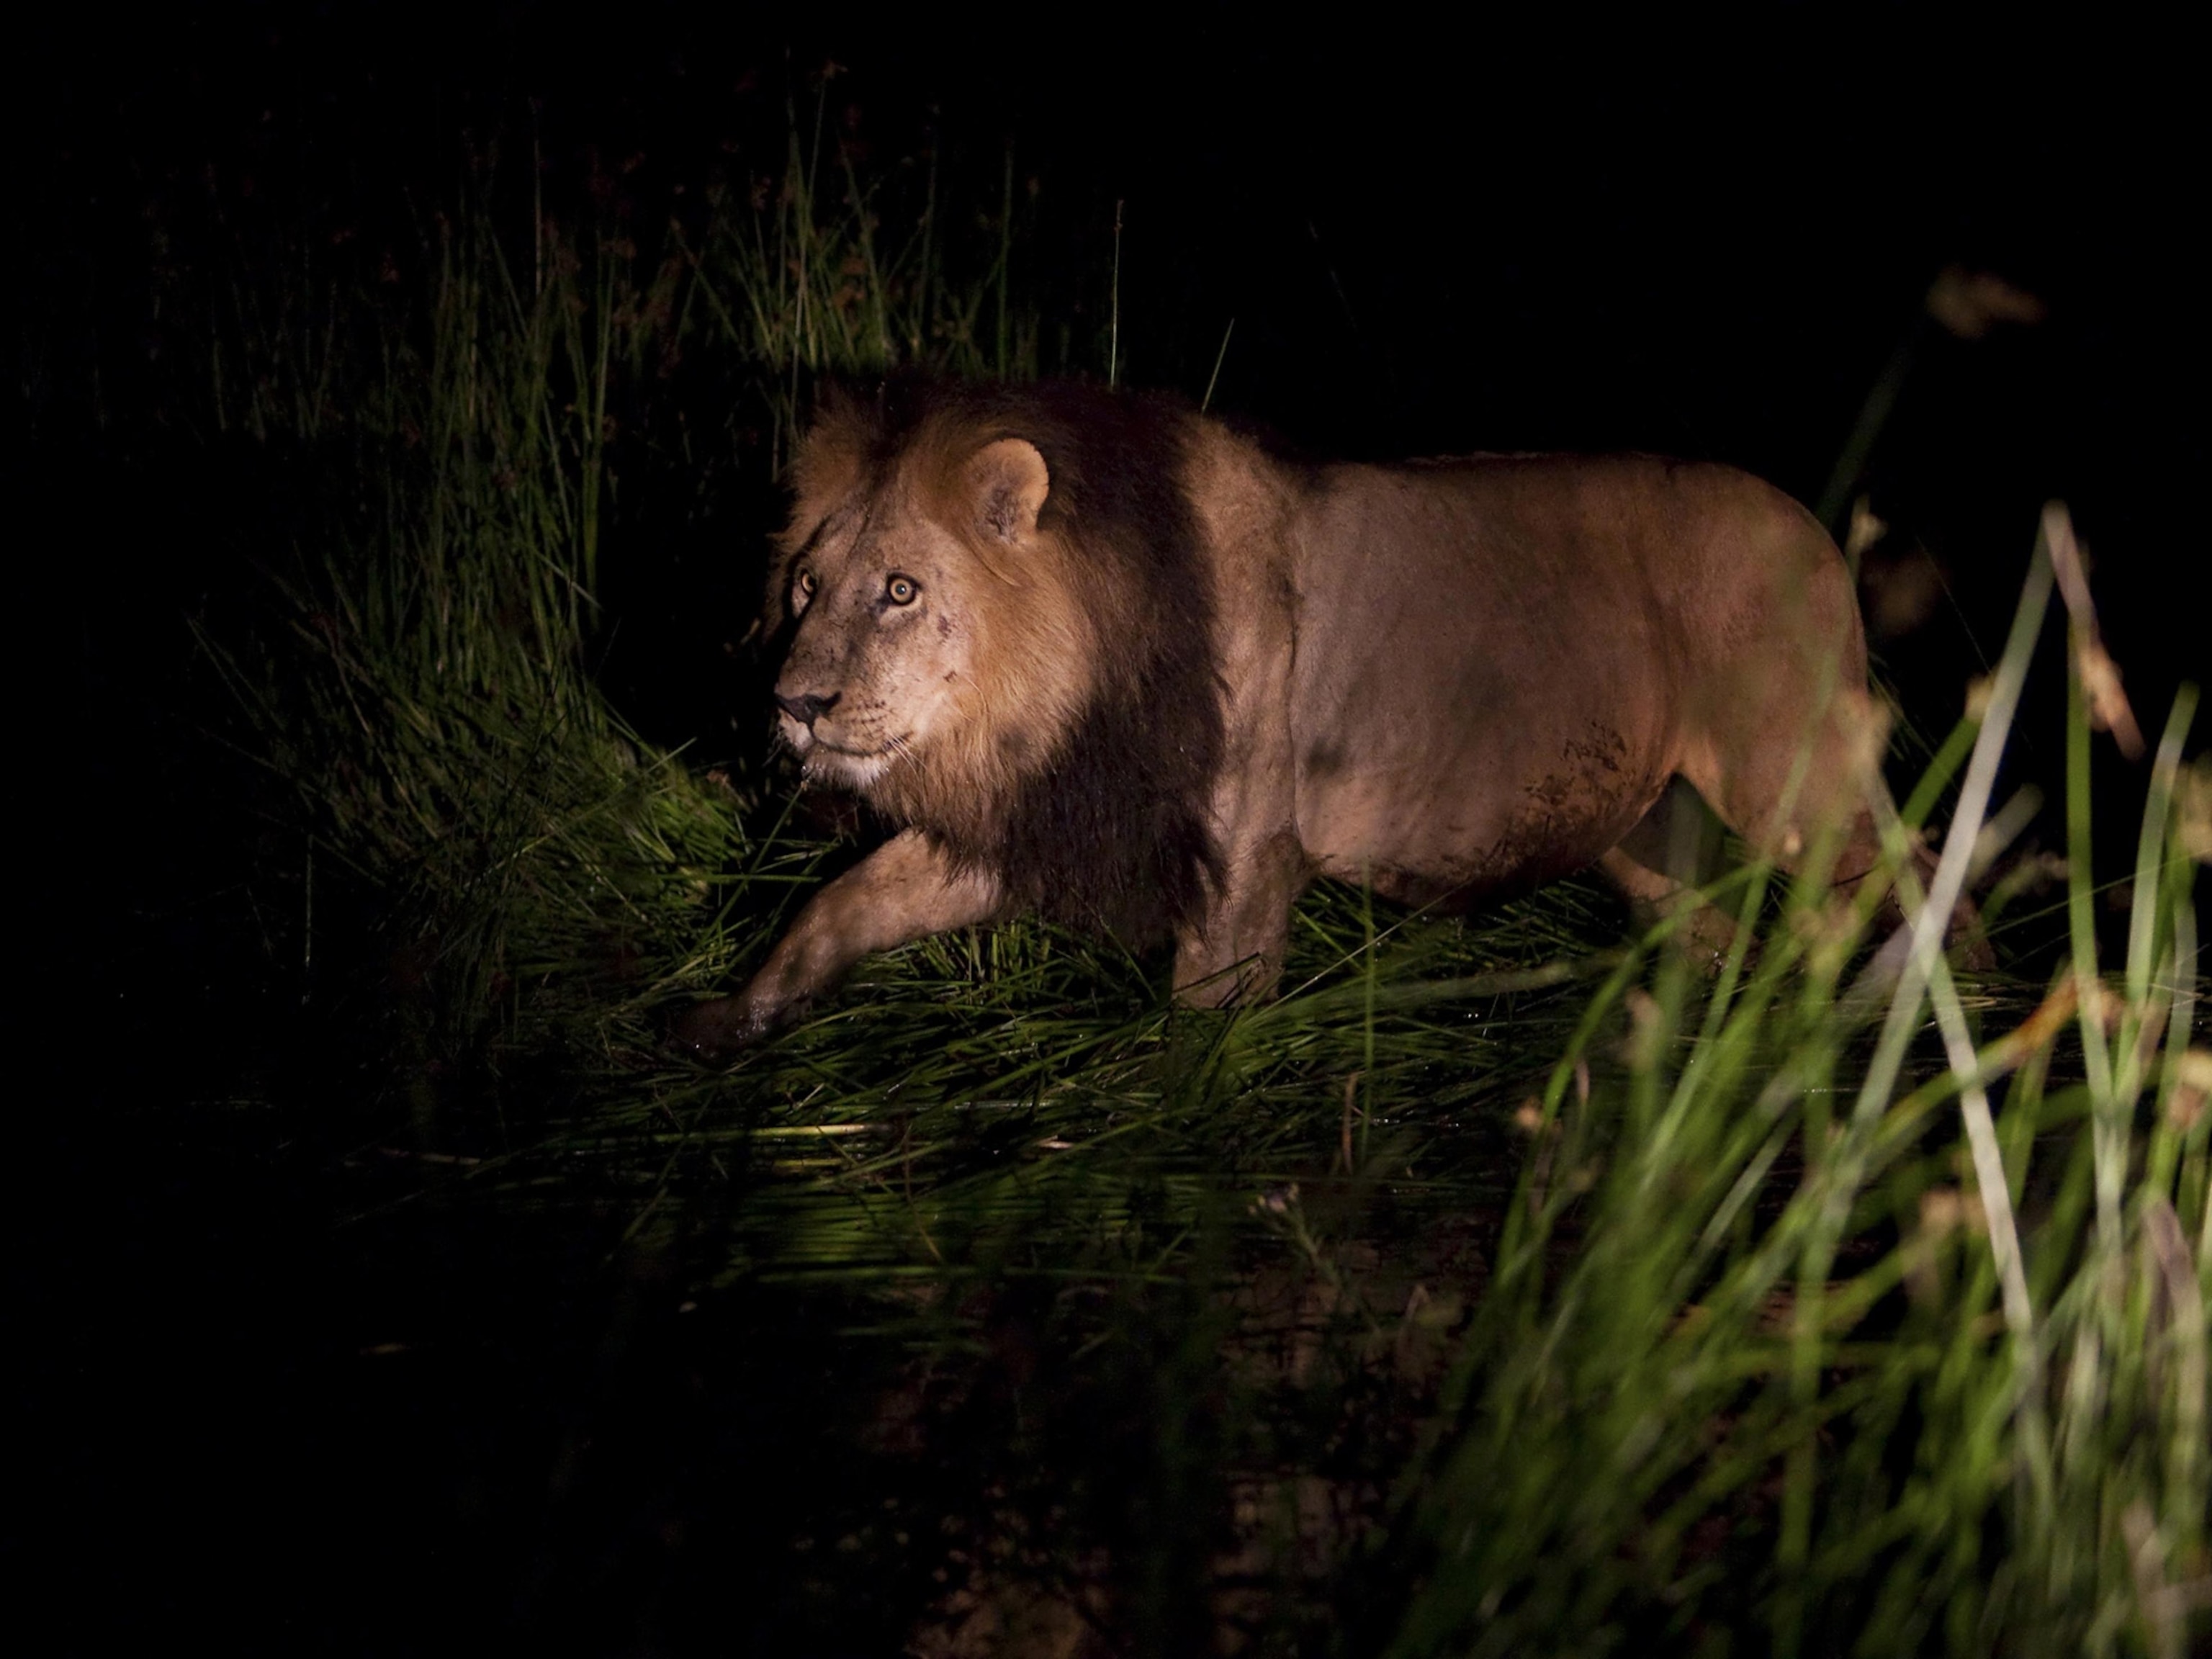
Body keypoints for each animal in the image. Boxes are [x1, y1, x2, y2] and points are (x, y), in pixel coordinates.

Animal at [676, 380, 1929, 1055]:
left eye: (901, 591)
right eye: (806, 586)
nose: (793, 704)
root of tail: (1822, 535)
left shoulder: (1241, 851)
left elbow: (1202, 1025)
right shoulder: (1055, 815)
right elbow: (846, 901)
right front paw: (731, 1019)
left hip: (1789, 775)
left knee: (1899, 871)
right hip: (1648, 835)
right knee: (1715, 928)